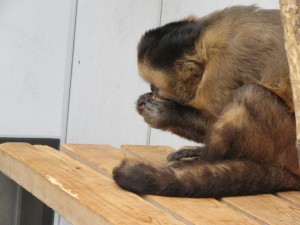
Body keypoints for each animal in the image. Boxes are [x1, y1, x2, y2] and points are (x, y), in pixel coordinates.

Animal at [112, 5, 300, 197]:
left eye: (156, 87)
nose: (151, 91)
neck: (205, 38)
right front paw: (143, 102)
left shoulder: (222, 70)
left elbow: (213, 116)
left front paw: (165, 114)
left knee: (250, 94)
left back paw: (204, 160)